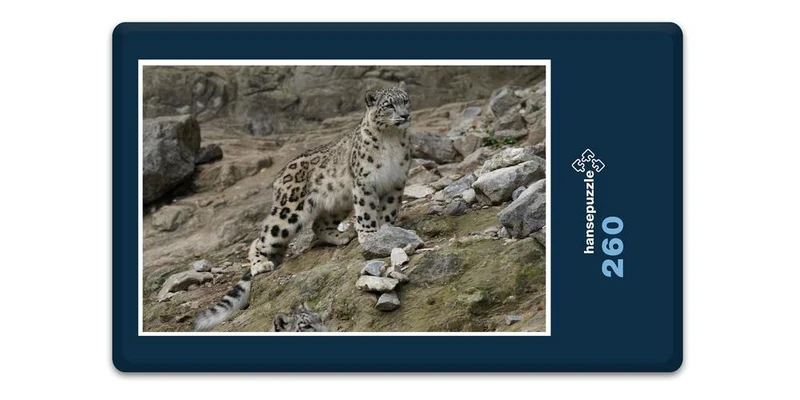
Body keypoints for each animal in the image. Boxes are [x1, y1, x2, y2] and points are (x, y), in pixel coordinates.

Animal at [194, 82, 412, 331]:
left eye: (405, 100)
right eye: (389, 105)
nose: (405, 115)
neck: (391, 140)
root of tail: (279, 177)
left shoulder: (396, 182)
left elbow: (389, 211)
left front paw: (387, 231)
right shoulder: (364, 182)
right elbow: (366, 212)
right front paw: (369, 235)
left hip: (336, 203)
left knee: (318, 225)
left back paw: (340, 236)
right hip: (288, 212)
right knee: (261, 238)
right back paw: (261, 264)